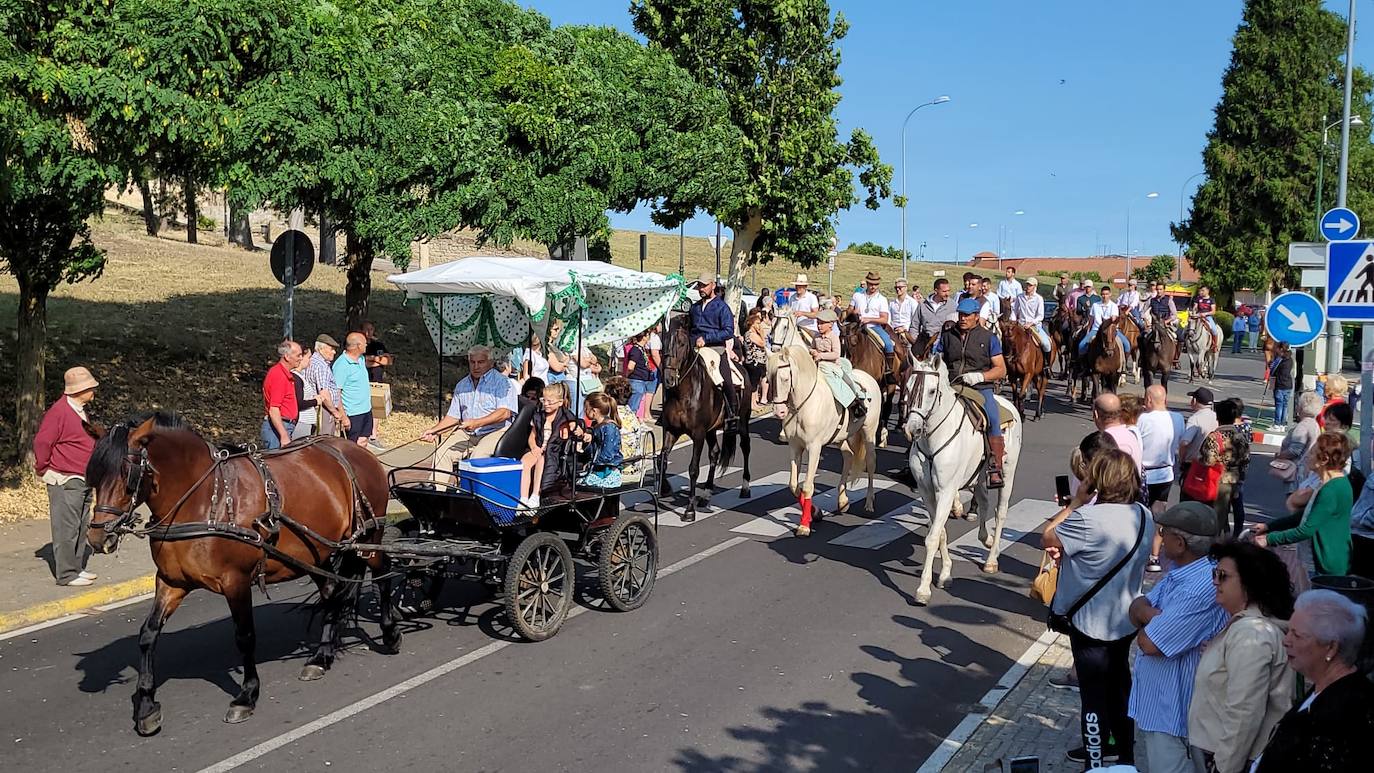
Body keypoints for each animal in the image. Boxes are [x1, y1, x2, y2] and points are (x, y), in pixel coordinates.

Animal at [86, 414, 398, 735]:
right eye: (94, 475)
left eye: (127, 473)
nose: (97, 538)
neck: (205, 501)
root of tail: (357, 451)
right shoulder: (171, 582)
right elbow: (148, 634)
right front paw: (147, 705)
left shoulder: (235, 581)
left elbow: (244, 636)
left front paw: (247, 695)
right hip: (315, 554)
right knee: (332, 592)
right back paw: (322, 655)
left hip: (368, 539)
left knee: (384, 571)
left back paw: (389, 632)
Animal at [654, 317, 752, 524]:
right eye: (664, 343)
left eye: (682, 344)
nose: (668, 379)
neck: (683, 393)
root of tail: (741, 367)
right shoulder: (672, 430)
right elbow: (661, 459)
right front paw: (664, 488)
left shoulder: (697, 434)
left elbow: (693, 469)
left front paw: (689, 510)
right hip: (712, 430)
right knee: (714, 453)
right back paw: (706, 494)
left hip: (742, 422)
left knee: (745, 447)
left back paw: (745, 487)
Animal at [763, 345, 879, 538]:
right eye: (768, 378)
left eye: (785, 378)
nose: (779, 412)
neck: (801, 406)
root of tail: (869, 377)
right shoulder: (795, 447)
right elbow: (794, 485)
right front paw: (815, 513)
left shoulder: (814, 447)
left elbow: (807, 486)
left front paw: (804, 526)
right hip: (840, 437)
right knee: (848, 455)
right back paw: (843, 501)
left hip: (869, 433)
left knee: (870, 463)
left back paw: (869, 503)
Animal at [835, 313, 912, 447]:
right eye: (840, 340)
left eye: (853, 342)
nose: (843, 362)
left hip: (893, 383)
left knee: (889, 405)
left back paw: (884, 433)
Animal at [901, 354, 1022, 604]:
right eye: (907, 387)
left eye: (931, 391)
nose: (912, 429)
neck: (933, 439)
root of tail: (1008, 404)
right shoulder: (928, 492)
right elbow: (940, 532)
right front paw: (946, 573)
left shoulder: (946, 490)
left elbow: (933, 537)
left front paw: (924, 589)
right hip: (979, 476)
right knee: (984, 502)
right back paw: (985, 538)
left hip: (1008, 473)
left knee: (1000, 512)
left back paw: (991, 559)